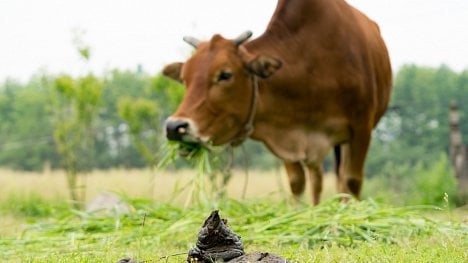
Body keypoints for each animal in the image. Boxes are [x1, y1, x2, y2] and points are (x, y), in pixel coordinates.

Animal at [161, 0, 392, 205]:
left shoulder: (361, 129)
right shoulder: (286, 131)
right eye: (184, 78)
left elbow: (352, 181)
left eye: (225, 74)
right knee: (316, 178)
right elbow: (297, 183)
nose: (174, 127)